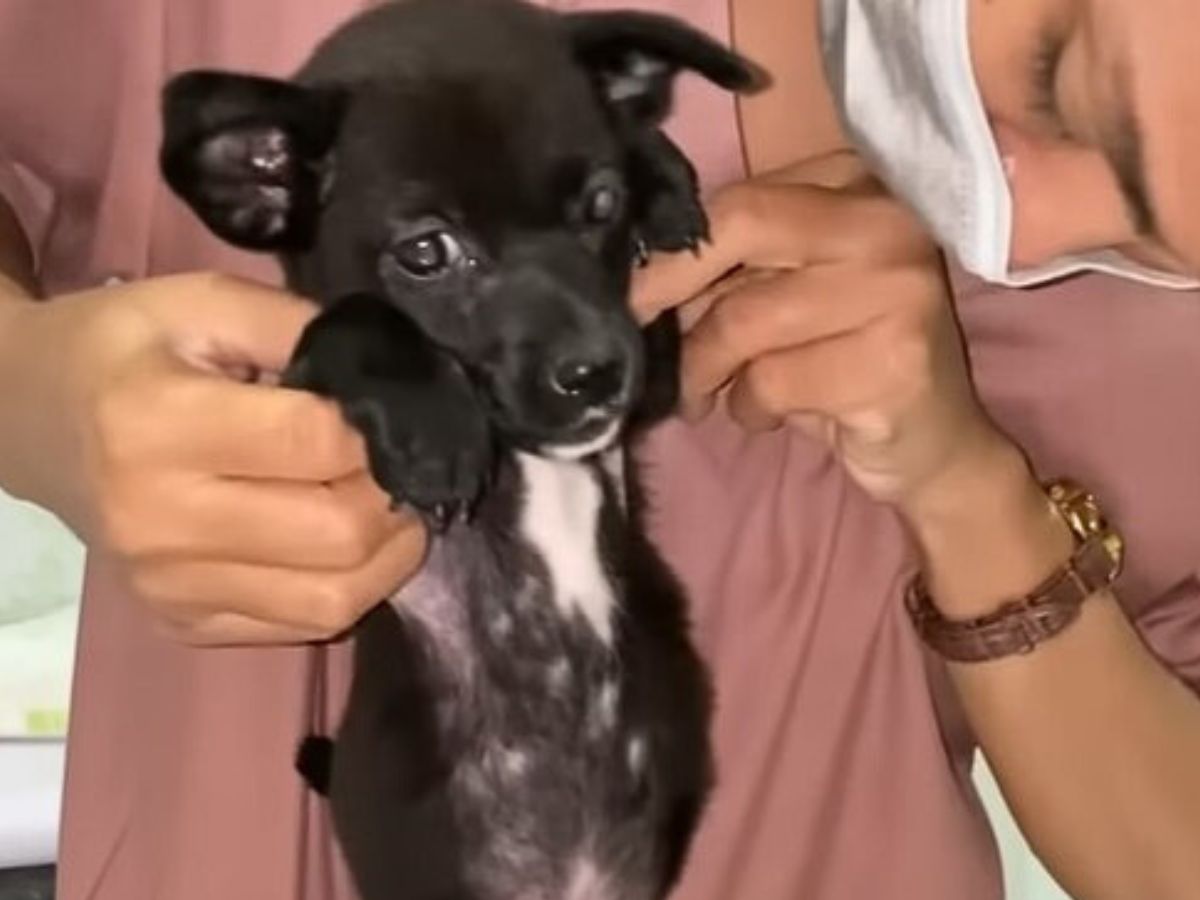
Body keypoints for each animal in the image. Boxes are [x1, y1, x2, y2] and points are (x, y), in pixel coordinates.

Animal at [159, 3, 758, 897]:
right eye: (425, 253)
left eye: (600, 203)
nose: (596, 373)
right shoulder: (294, 391)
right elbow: (354, 319)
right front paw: (433, 426)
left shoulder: (649, 372)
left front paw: (660, 177)